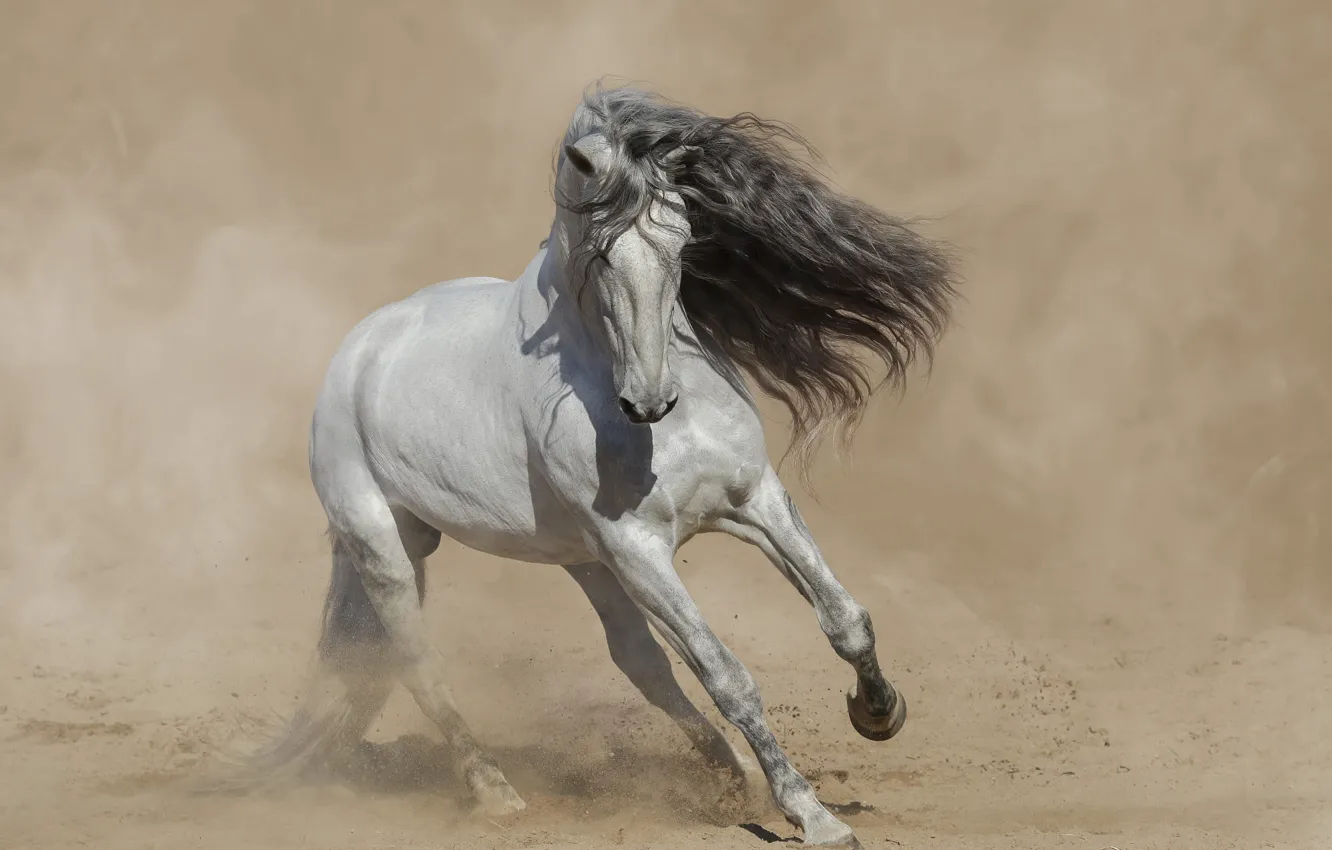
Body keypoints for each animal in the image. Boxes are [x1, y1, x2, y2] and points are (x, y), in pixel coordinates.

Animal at [240, 84, 958, 848]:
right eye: (600, 255)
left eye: (682, 240)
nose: (648, 401)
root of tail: (358, 350)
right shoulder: (639, 549)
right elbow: (728, 676)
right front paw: (814, 815)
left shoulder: (753, 501)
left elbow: (845, 619)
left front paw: (878, 713)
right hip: (388, 550)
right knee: (417, 662)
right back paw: (496, 793)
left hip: (584, 562)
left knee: (640, 663)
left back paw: (733, 776)